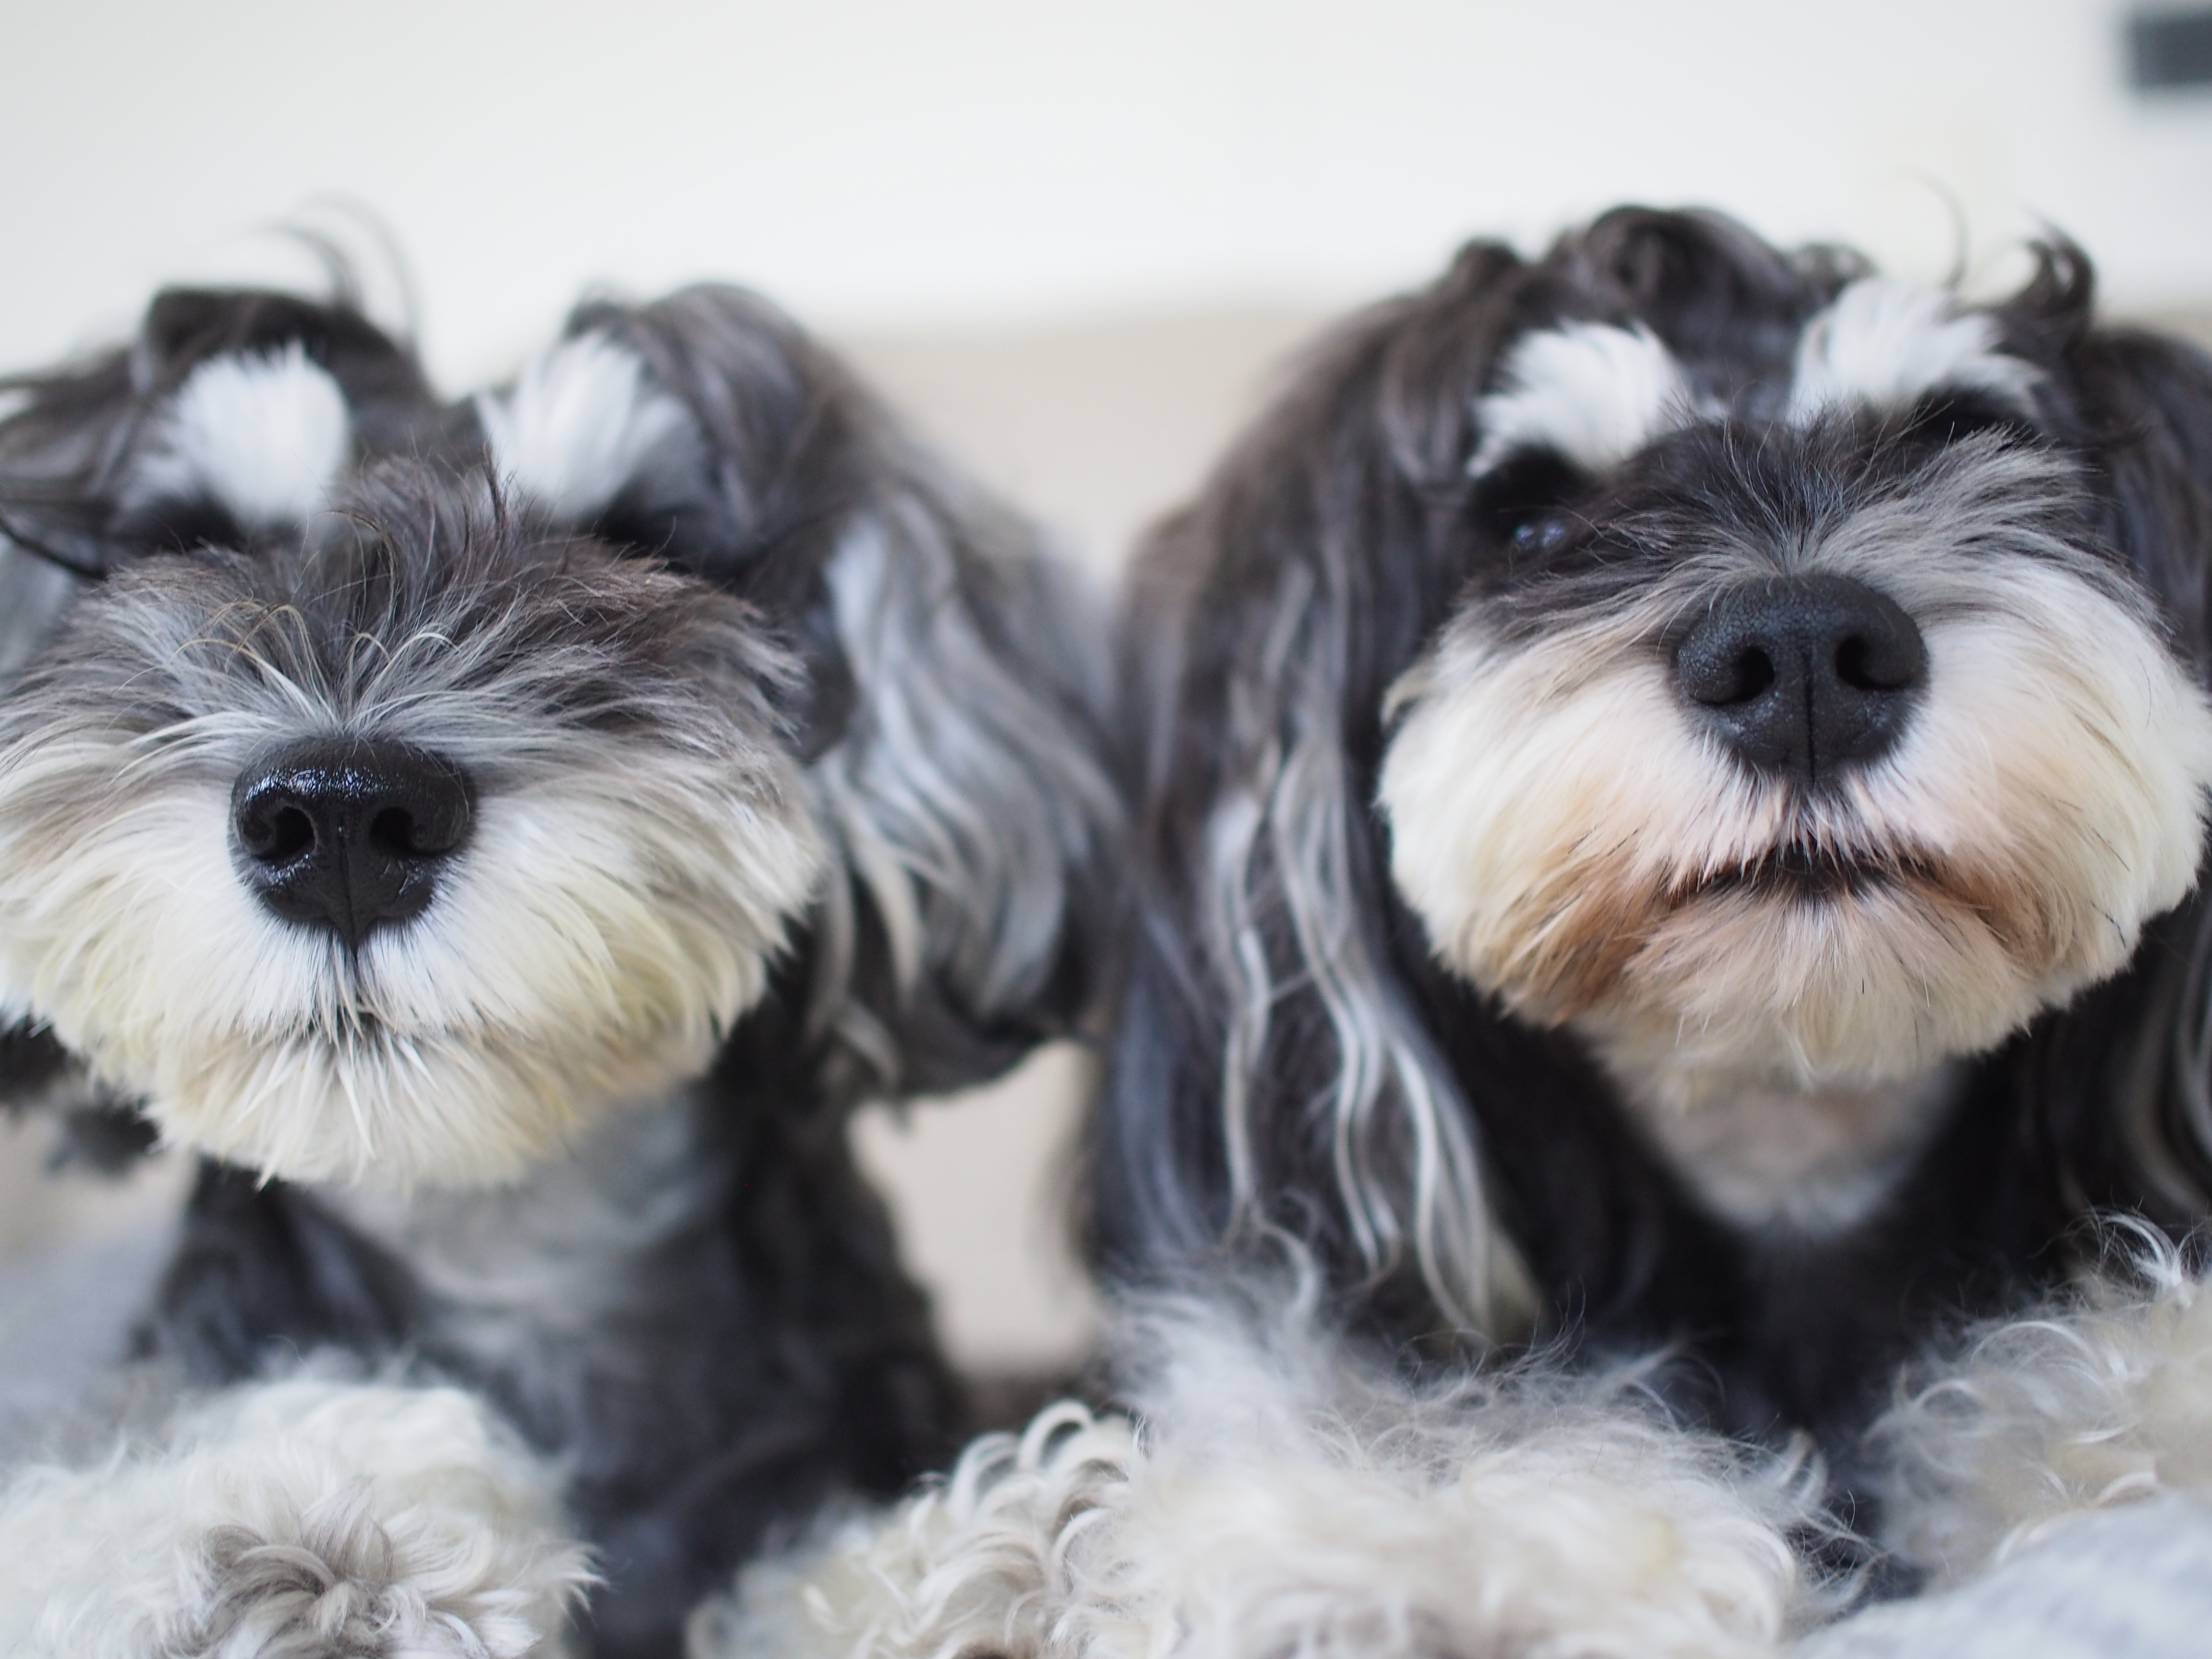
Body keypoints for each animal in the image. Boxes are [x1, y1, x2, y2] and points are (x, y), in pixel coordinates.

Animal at [0, 279, 1115, 1654]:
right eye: (189, 538)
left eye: (639, 540)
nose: (341, 820)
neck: (509, 1245)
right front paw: (306, 1532)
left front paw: (1011, 1555)